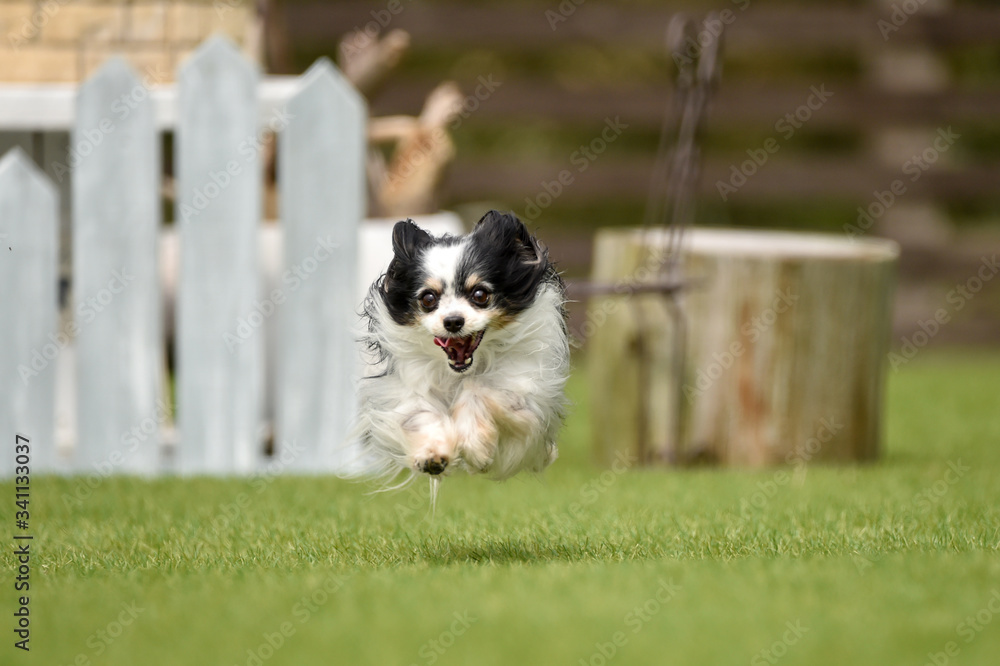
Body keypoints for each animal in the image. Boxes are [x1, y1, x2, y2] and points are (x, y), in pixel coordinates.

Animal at [358, 210, 572, 480]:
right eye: (428, 299)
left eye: (480, 295)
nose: (452, 321)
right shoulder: (411, 388)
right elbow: (419, 412)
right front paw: (432, 454)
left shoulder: (522, 390)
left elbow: (478, 388)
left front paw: (475, 445)